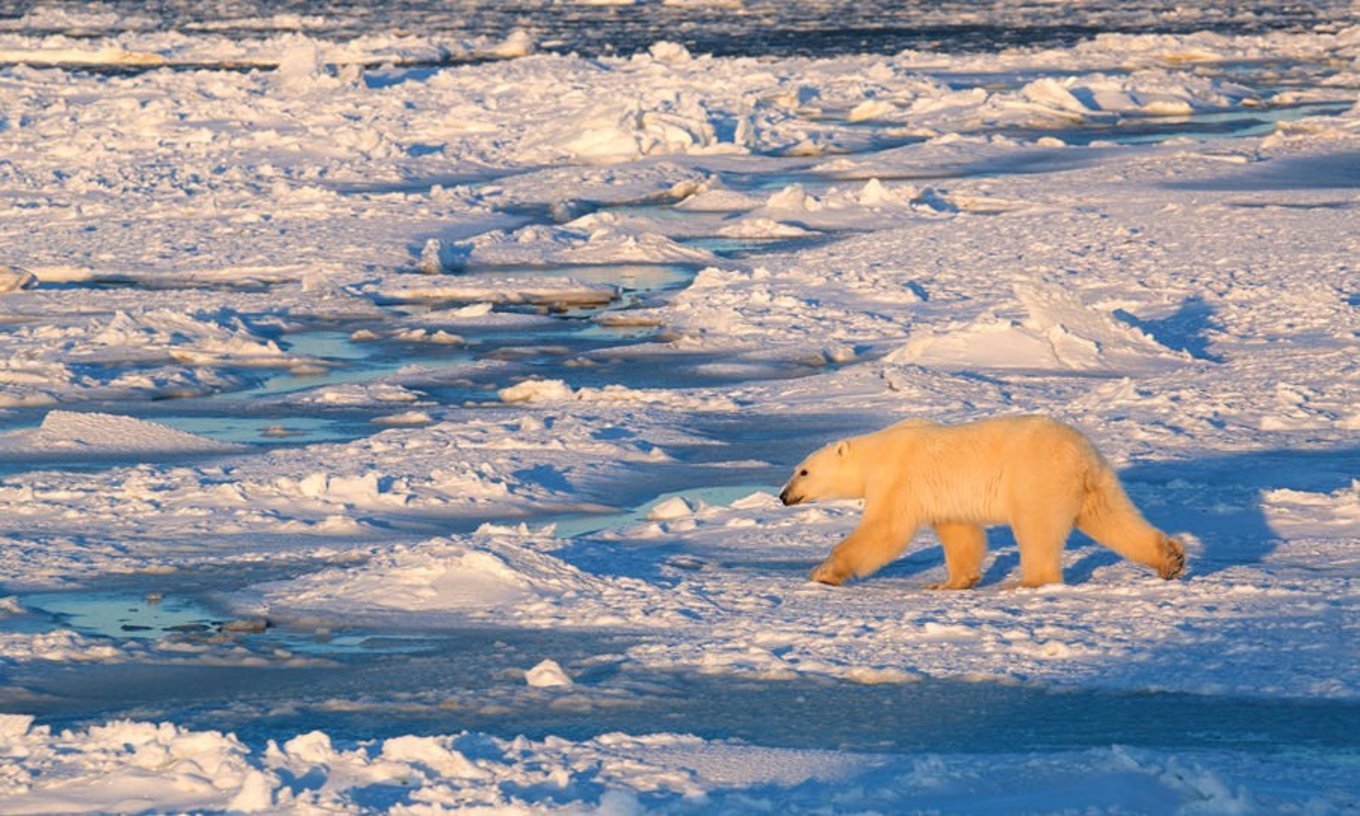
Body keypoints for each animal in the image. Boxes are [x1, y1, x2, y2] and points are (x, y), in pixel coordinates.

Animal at [783, 418, 1185, 590]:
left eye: (803, 470)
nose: (783, 495)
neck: (876, 451)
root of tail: (1080, 455)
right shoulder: (941, 496)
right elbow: (961, 533)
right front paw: (952, 583)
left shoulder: (896, 478)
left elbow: (883, 531)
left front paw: (822, 572)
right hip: (1097, 482)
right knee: (1114, 518)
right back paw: (1171, 559)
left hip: (1036, 478)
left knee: (1037, 529)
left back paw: (1030, 582)